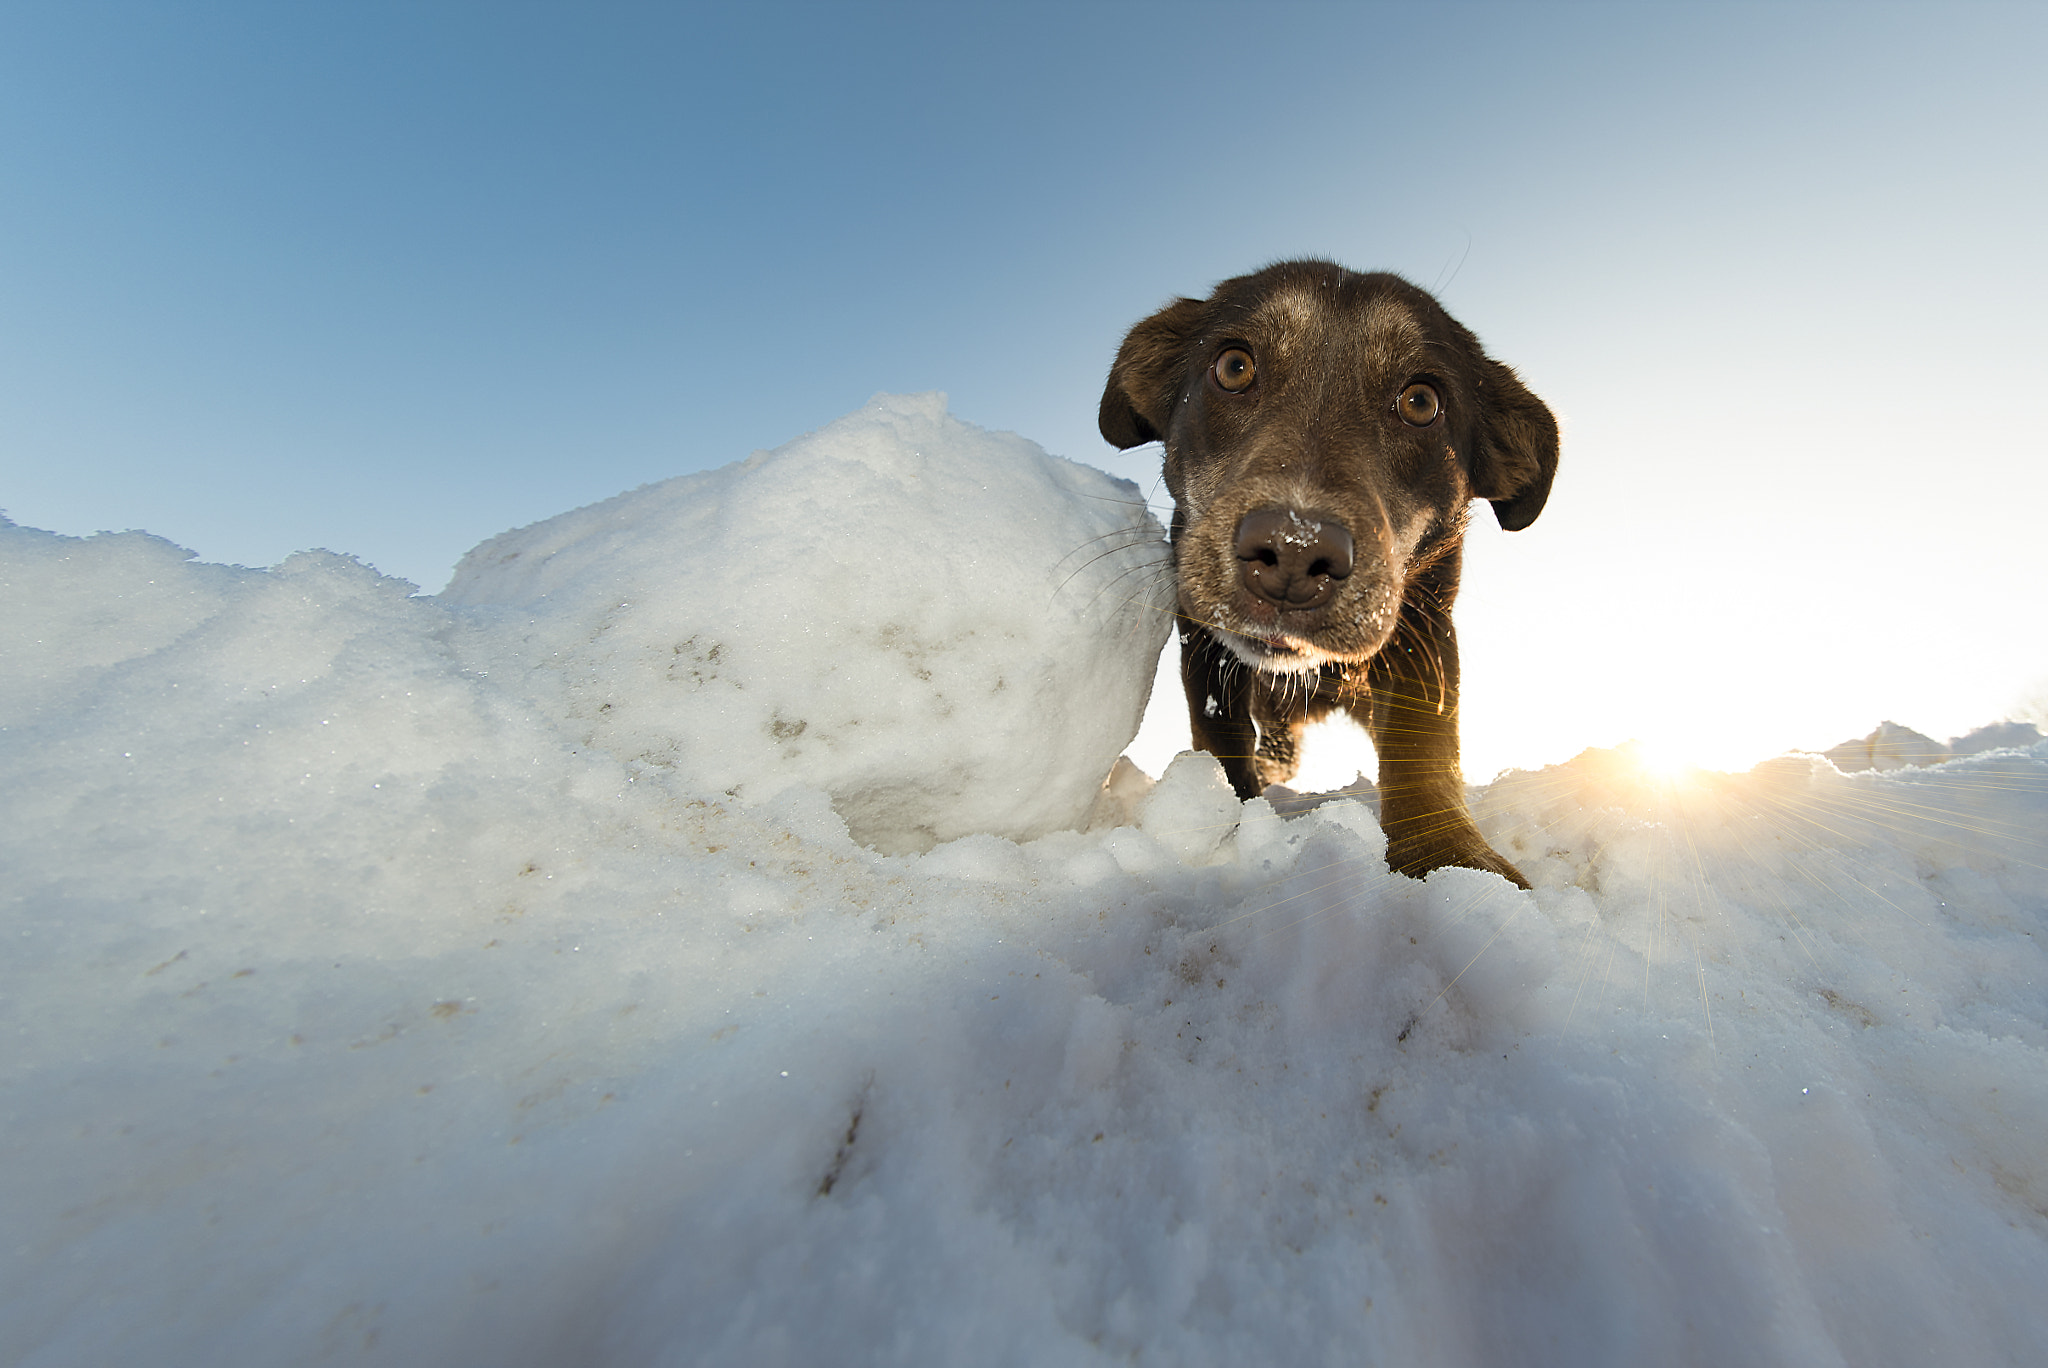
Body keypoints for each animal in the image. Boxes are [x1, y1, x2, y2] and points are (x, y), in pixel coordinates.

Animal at [1105, 259, 1548, 888]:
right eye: (1234, 367)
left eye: (1421, 402)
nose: (1293, 551)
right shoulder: (1202, 636)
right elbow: (1219, 730)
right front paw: (1231, 813)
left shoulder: (1424, 631)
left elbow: (1425, 740)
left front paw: (1448, 854)